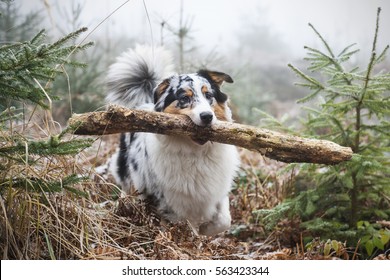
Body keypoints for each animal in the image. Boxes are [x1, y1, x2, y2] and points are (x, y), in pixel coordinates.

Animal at [103, 44, 239, 235]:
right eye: (184, 98)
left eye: (209, 95)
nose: (207, 116)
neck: (196, 153)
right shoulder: (170, 204)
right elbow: (186, 231)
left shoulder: (217, 190)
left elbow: (224, 220)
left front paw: (207, 229)